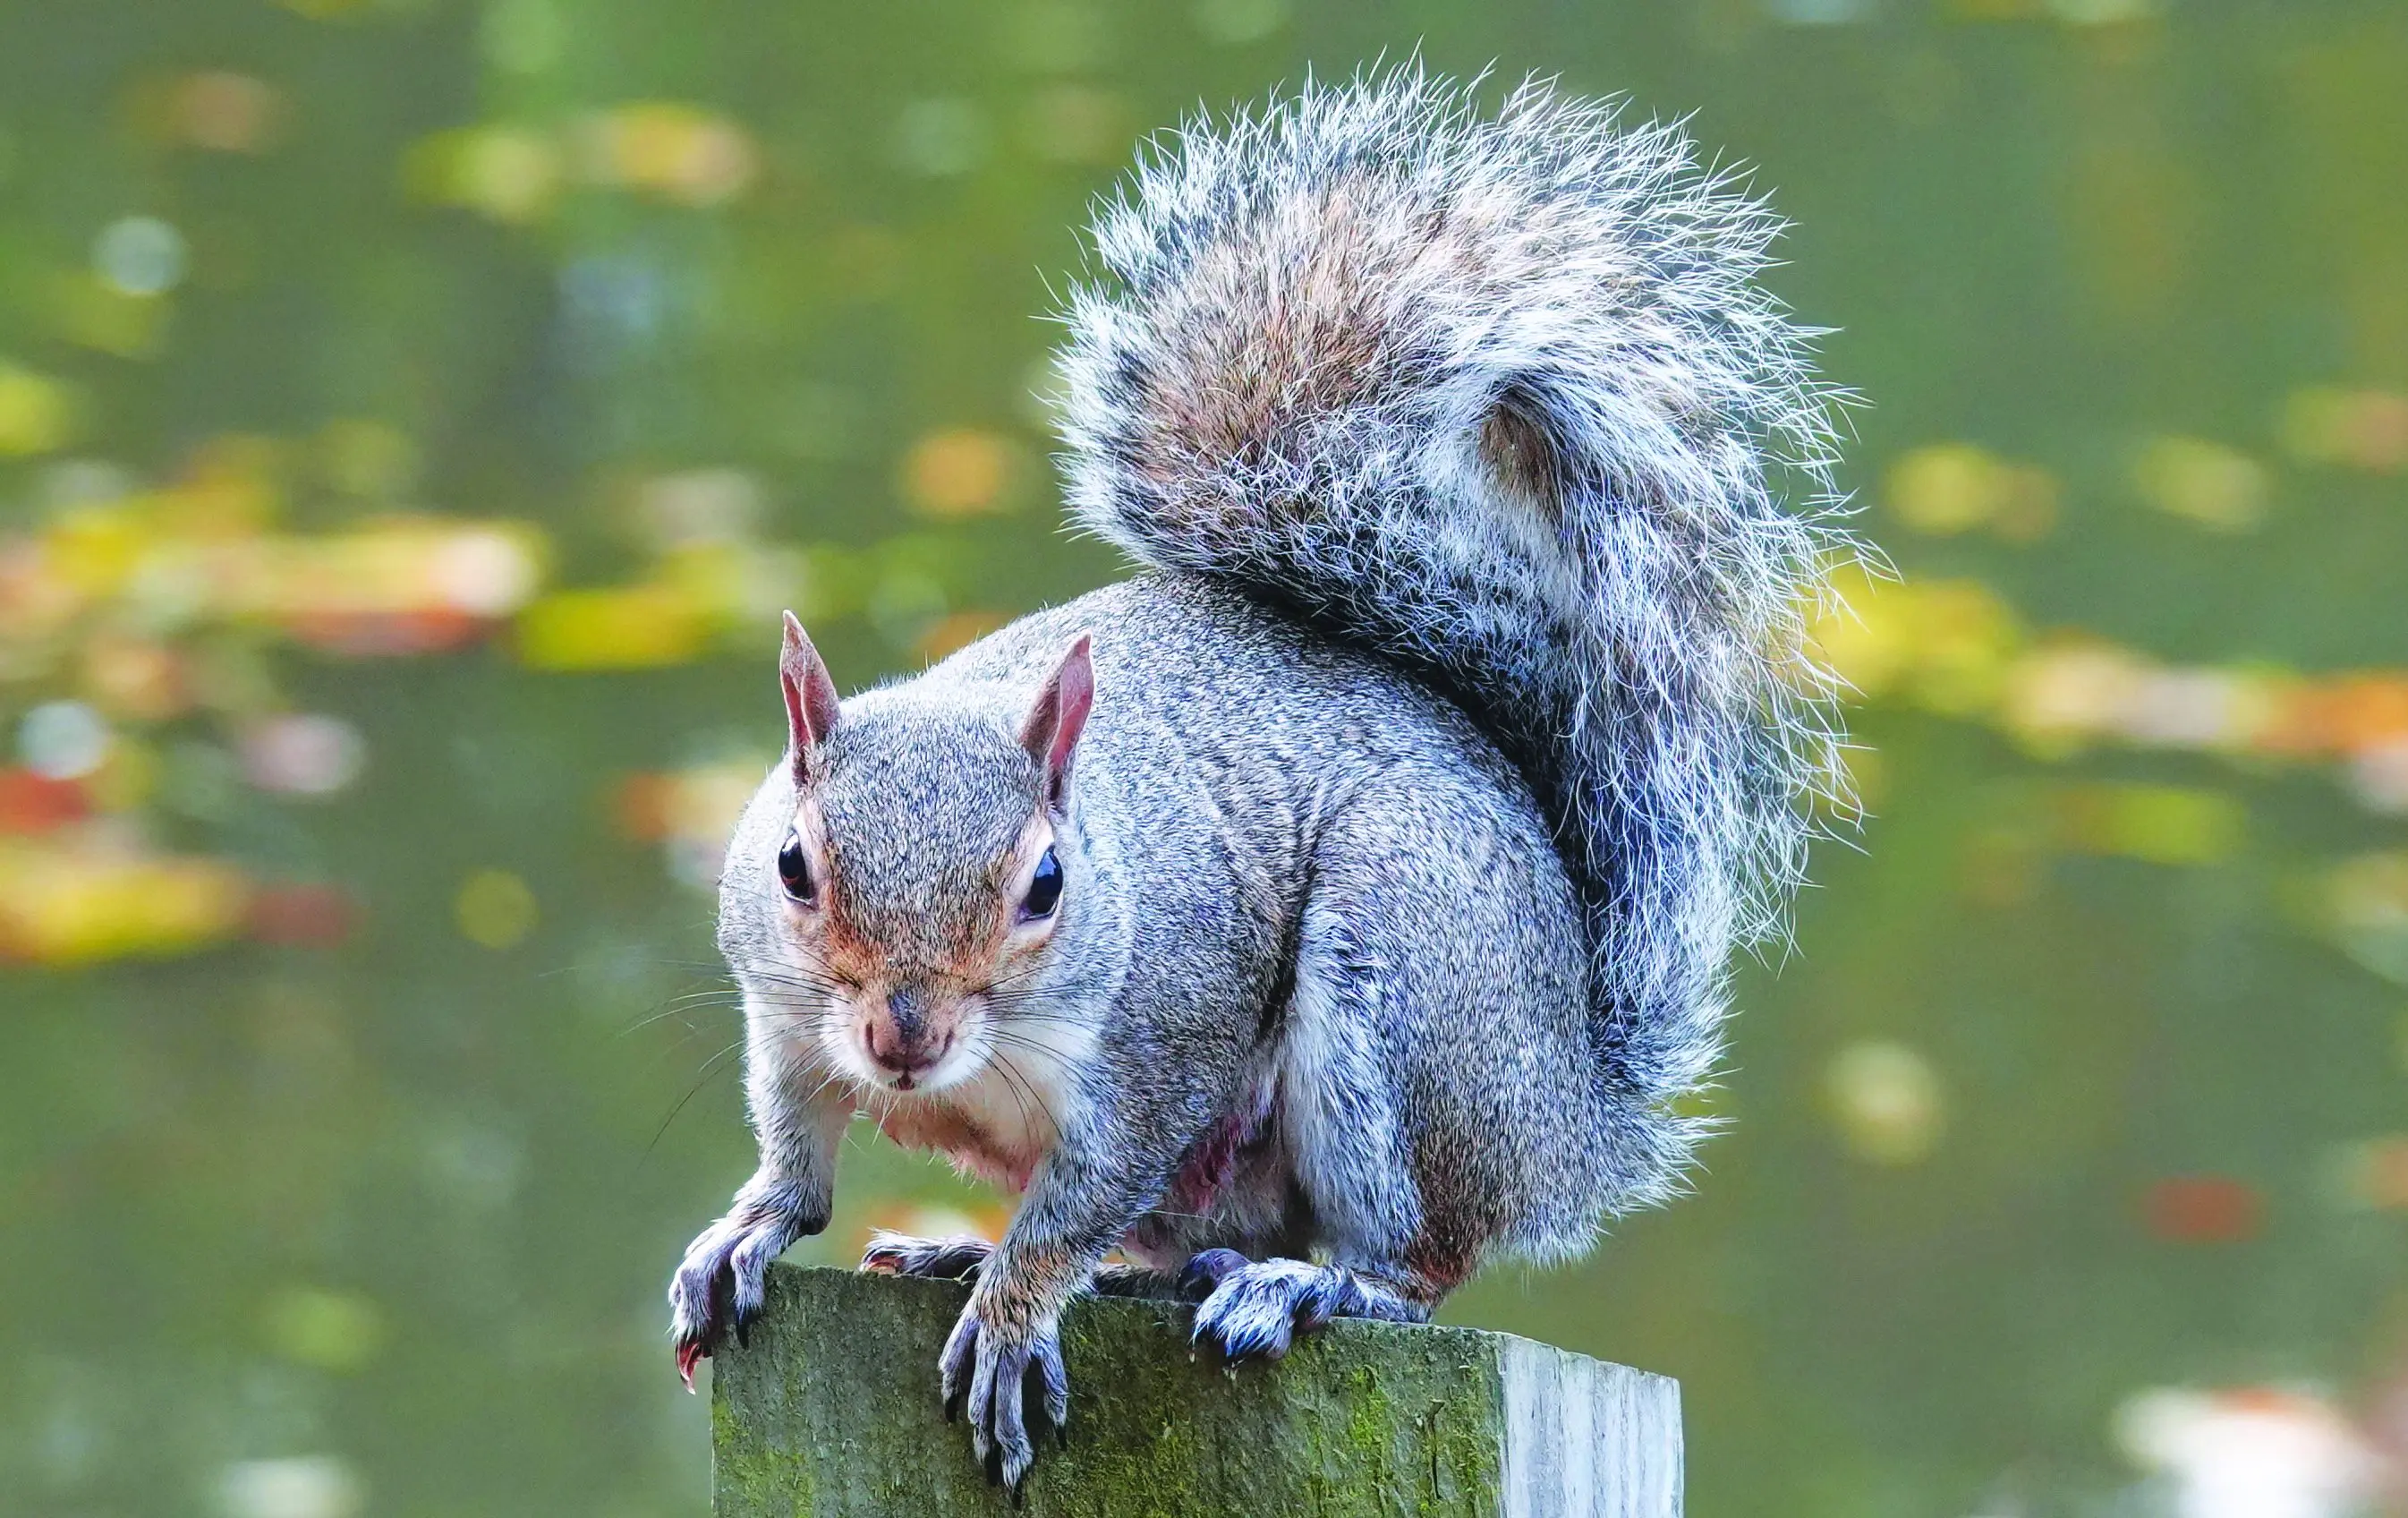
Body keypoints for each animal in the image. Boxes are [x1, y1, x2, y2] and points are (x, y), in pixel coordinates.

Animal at [669, 68, 1848, 1491]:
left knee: (1416, 1259)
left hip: (1406, 966)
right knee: (1175, 1246)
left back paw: (1307, 1284)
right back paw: (987, 1250)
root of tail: (1573, 1118)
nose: (905, 1036)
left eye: (1045, 886)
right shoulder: (782, 1019)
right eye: (793, 865)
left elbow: (1076, 1207)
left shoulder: (1163, 1046)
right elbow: (795, 1147)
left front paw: (1011, 1312)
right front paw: (751, 1226)